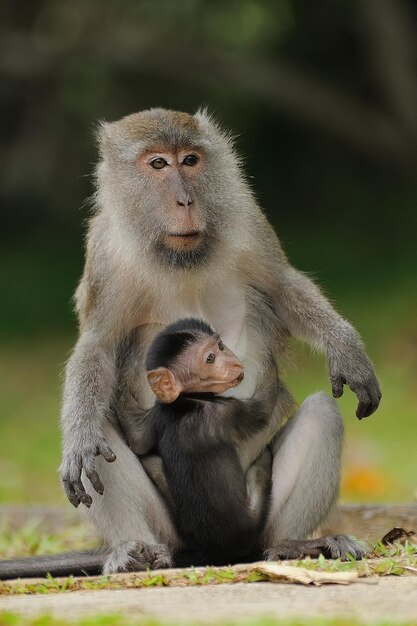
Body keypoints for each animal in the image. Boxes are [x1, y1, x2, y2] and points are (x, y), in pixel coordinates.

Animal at [127, 316, 276, 560]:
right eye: (210, 359)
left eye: (221, 346)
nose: (233, 361)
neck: (187, 400)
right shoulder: (227, 410)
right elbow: (264, 408)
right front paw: (271, 358)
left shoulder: (159, 413)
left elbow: (137, 440)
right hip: (251, 525)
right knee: (261, 467)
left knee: (149, 460)